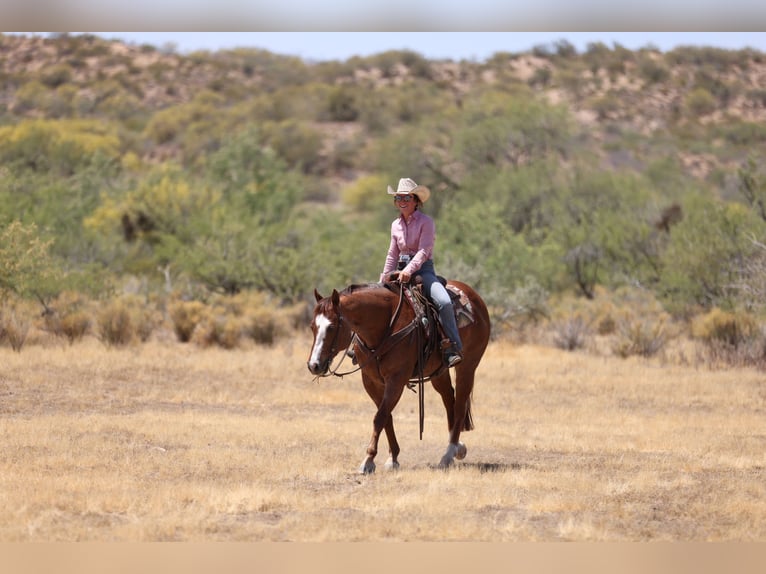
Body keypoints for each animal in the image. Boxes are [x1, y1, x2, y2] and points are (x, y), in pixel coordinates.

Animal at [307, 279, 491, 473]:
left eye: (331, 327)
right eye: (312, 326)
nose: (314, 365)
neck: (383, 328)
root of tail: (474, 297)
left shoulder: (396, 379)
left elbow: (380, 416)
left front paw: (368, 460)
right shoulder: (371, 381)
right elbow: (386, 416)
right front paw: (392, 457)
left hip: (467, 367)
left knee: (460, 404)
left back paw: (448, 454)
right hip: (438, 372)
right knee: (449, 399)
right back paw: (457, 447)